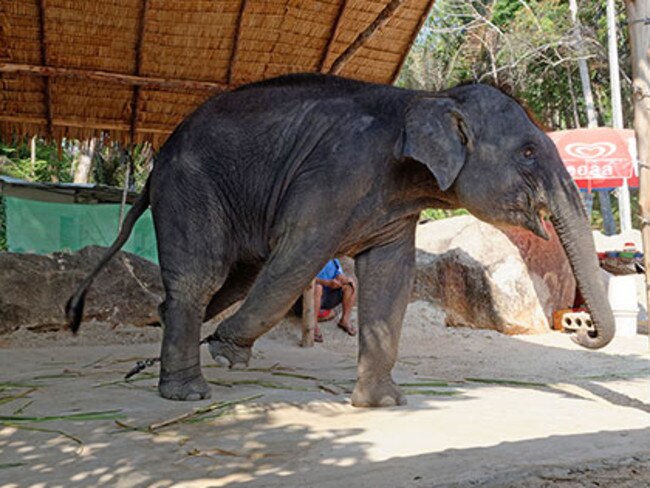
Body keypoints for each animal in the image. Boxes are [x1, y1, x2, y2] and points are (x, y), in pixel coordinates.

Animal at [68, 73, 616, 408]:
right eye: (528, 152)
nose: (578, 328)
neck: (425, 96)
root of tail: (156, 163)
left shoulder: (396, 207)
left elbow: (391, 279)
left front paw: (383, 404)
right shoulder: (333, 175)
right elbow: (301, 253)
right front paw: (226, 351)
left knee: (230, 281)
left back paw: (167, 360)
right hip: (191, 187)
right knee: (203, 278)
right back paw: (189, 394)